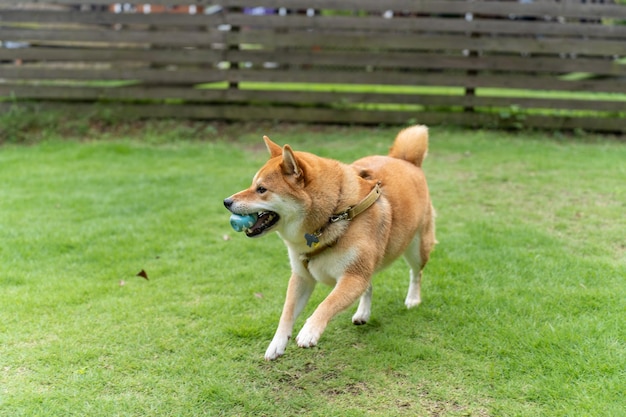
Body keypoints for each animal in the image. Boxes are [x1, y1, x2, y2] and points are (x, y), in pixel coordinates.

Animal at [223, 125, 434, 360]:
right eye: (253, 185)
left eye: (261, 189)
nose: (226, 202)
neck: (335, 214)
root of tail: (404, 160)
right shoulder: (302, 276)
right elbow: (286, 313)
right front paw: (276, 344)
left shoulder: (353, 277)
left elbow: (327, 303)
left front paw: (309, 331)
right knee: (369, 285)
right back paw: (363, 312)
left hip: (416, 248)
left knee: (416, 273)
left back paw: (413, 299)